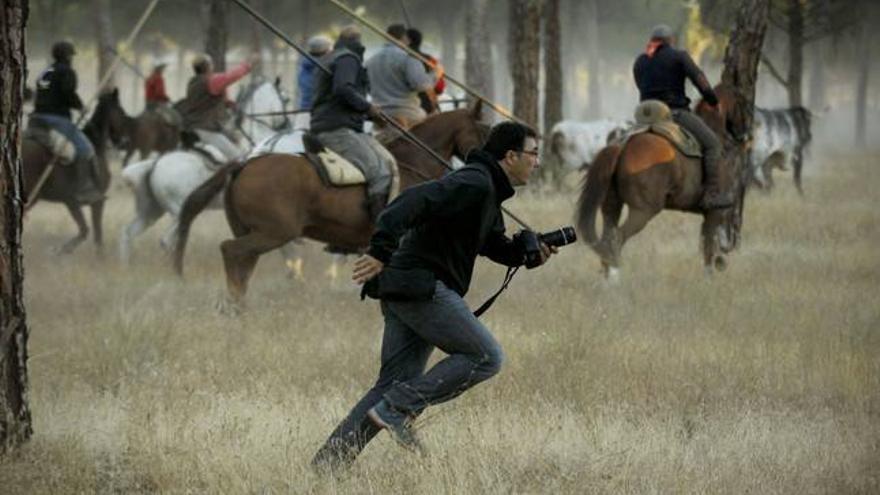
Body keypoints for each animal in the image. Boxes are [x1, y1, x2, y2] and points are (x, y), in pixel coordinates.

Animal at [22, 89, 121, 258]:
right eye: (120, 111)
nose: (122, 141)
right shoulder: (78, 202)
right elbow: (88, 231)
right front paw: (60, 251)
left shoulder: (86, 202)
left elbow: (94, 233)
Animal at [172, 102, 488, 308]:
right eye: (485, 131)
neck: (413, 164)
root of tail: (242, 164)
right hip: (274, 232)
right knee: (232, 251)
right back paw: (234, 304)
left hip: (252, 231)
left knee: (243, 262)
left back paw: (236, 305)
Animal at [576, 86, 752, 282]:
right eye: (741, 103)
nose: (744, 135)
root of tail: (622, 147)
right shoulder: (715, 212)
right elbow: (708, 247)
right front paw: (709, 279)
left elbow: (706, 244)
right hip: (643, 212)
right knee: (616, 239)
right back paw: (615, 279)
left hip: (611, 207)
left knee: (607, 239)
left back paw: (608, 281)